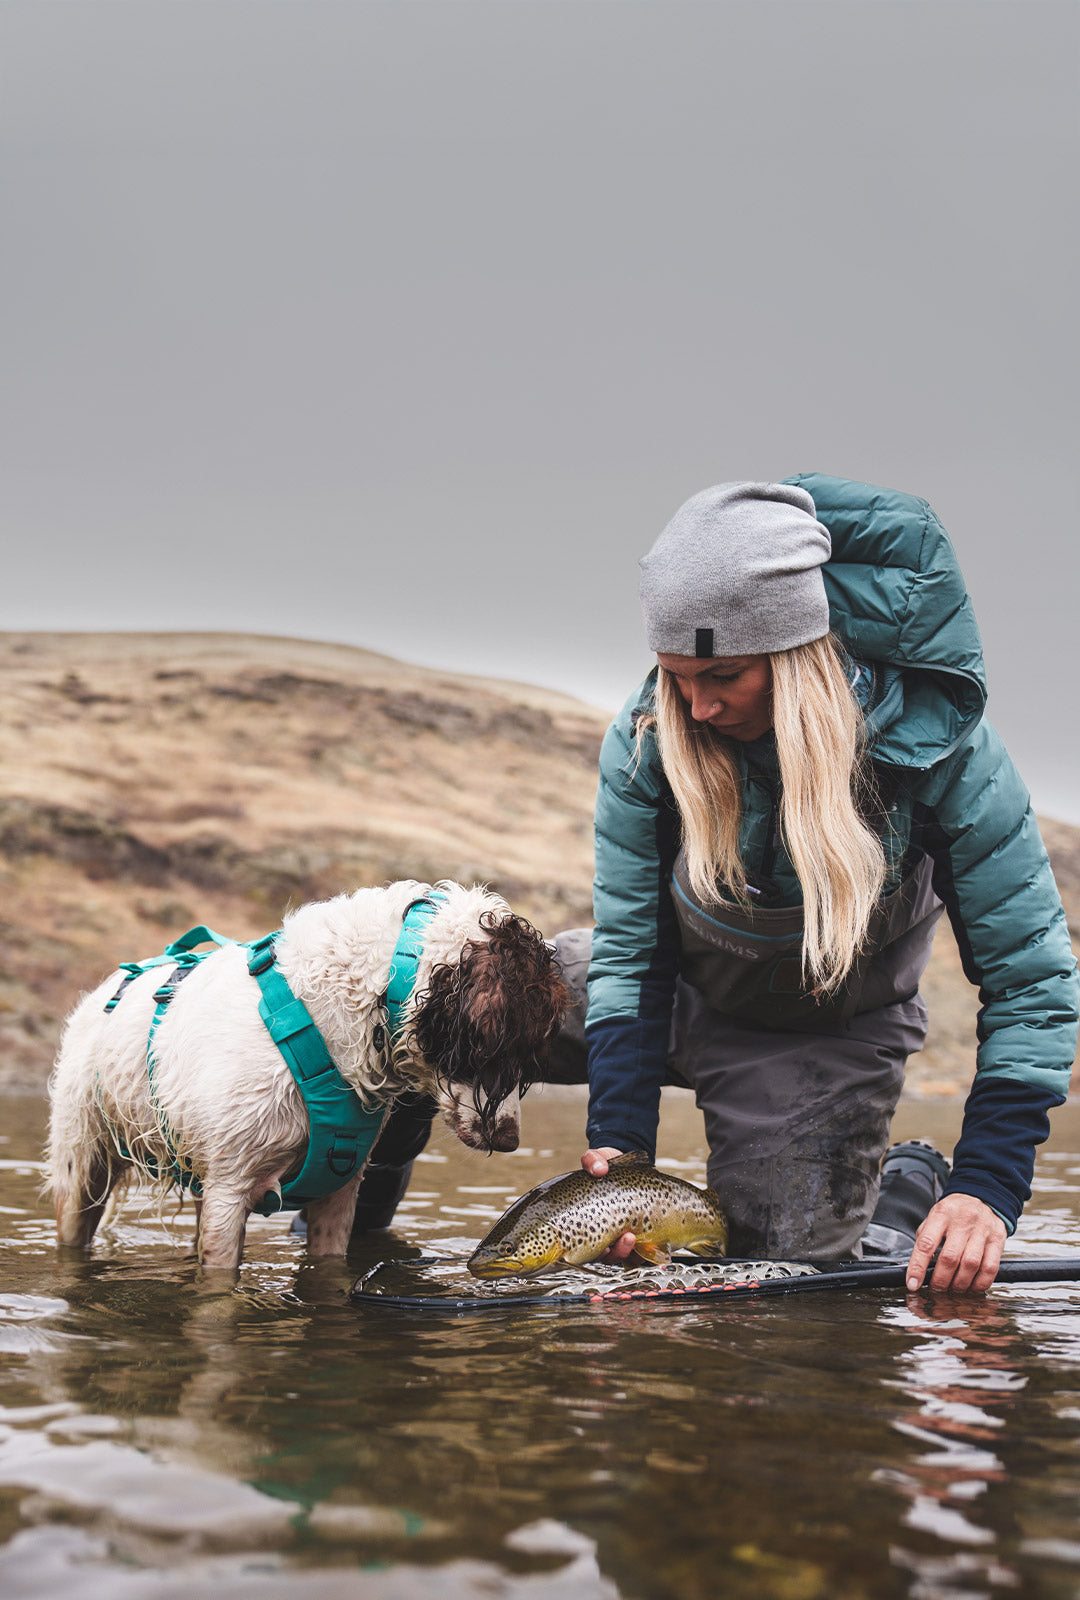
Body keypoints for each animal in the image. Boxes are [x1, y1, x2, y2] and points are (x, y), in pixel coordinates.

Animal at [44, 883, 566, 1267]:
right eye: (506, 1048)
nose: (511, 1139)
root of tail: (108, 986)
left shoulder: (337, 1194)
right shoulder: (230, 1190)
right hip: (83, 1166)